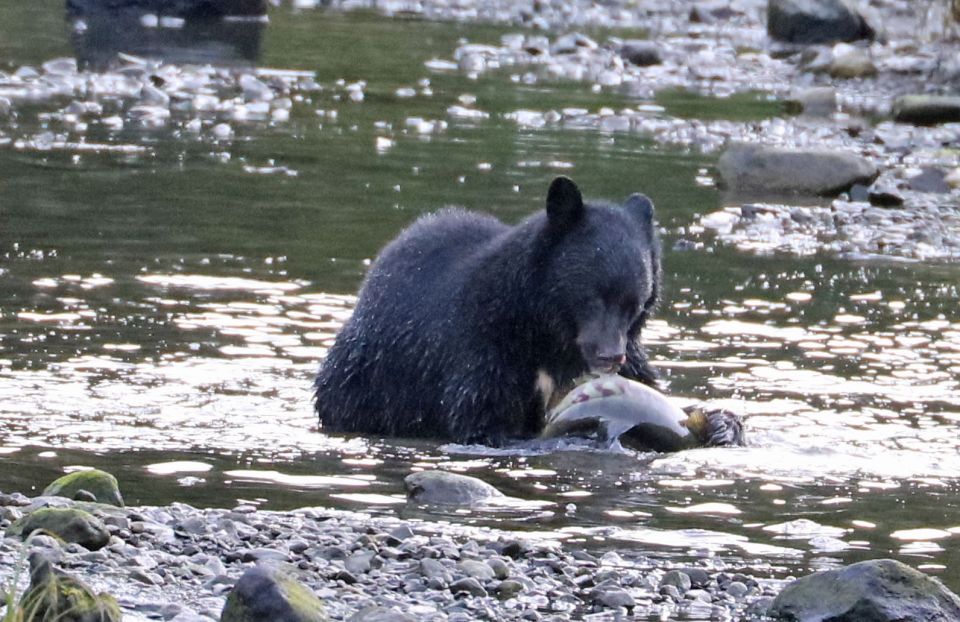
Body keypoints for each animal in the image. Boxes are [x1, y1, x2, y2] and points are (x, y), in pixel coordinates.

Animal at [316, 178, 660, 446]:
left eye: (635, 304)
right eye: (591, 298)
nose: (610, 357)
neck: (540, 327)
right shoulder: (482, 343)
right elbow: (482, 416)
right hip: (364, 377)